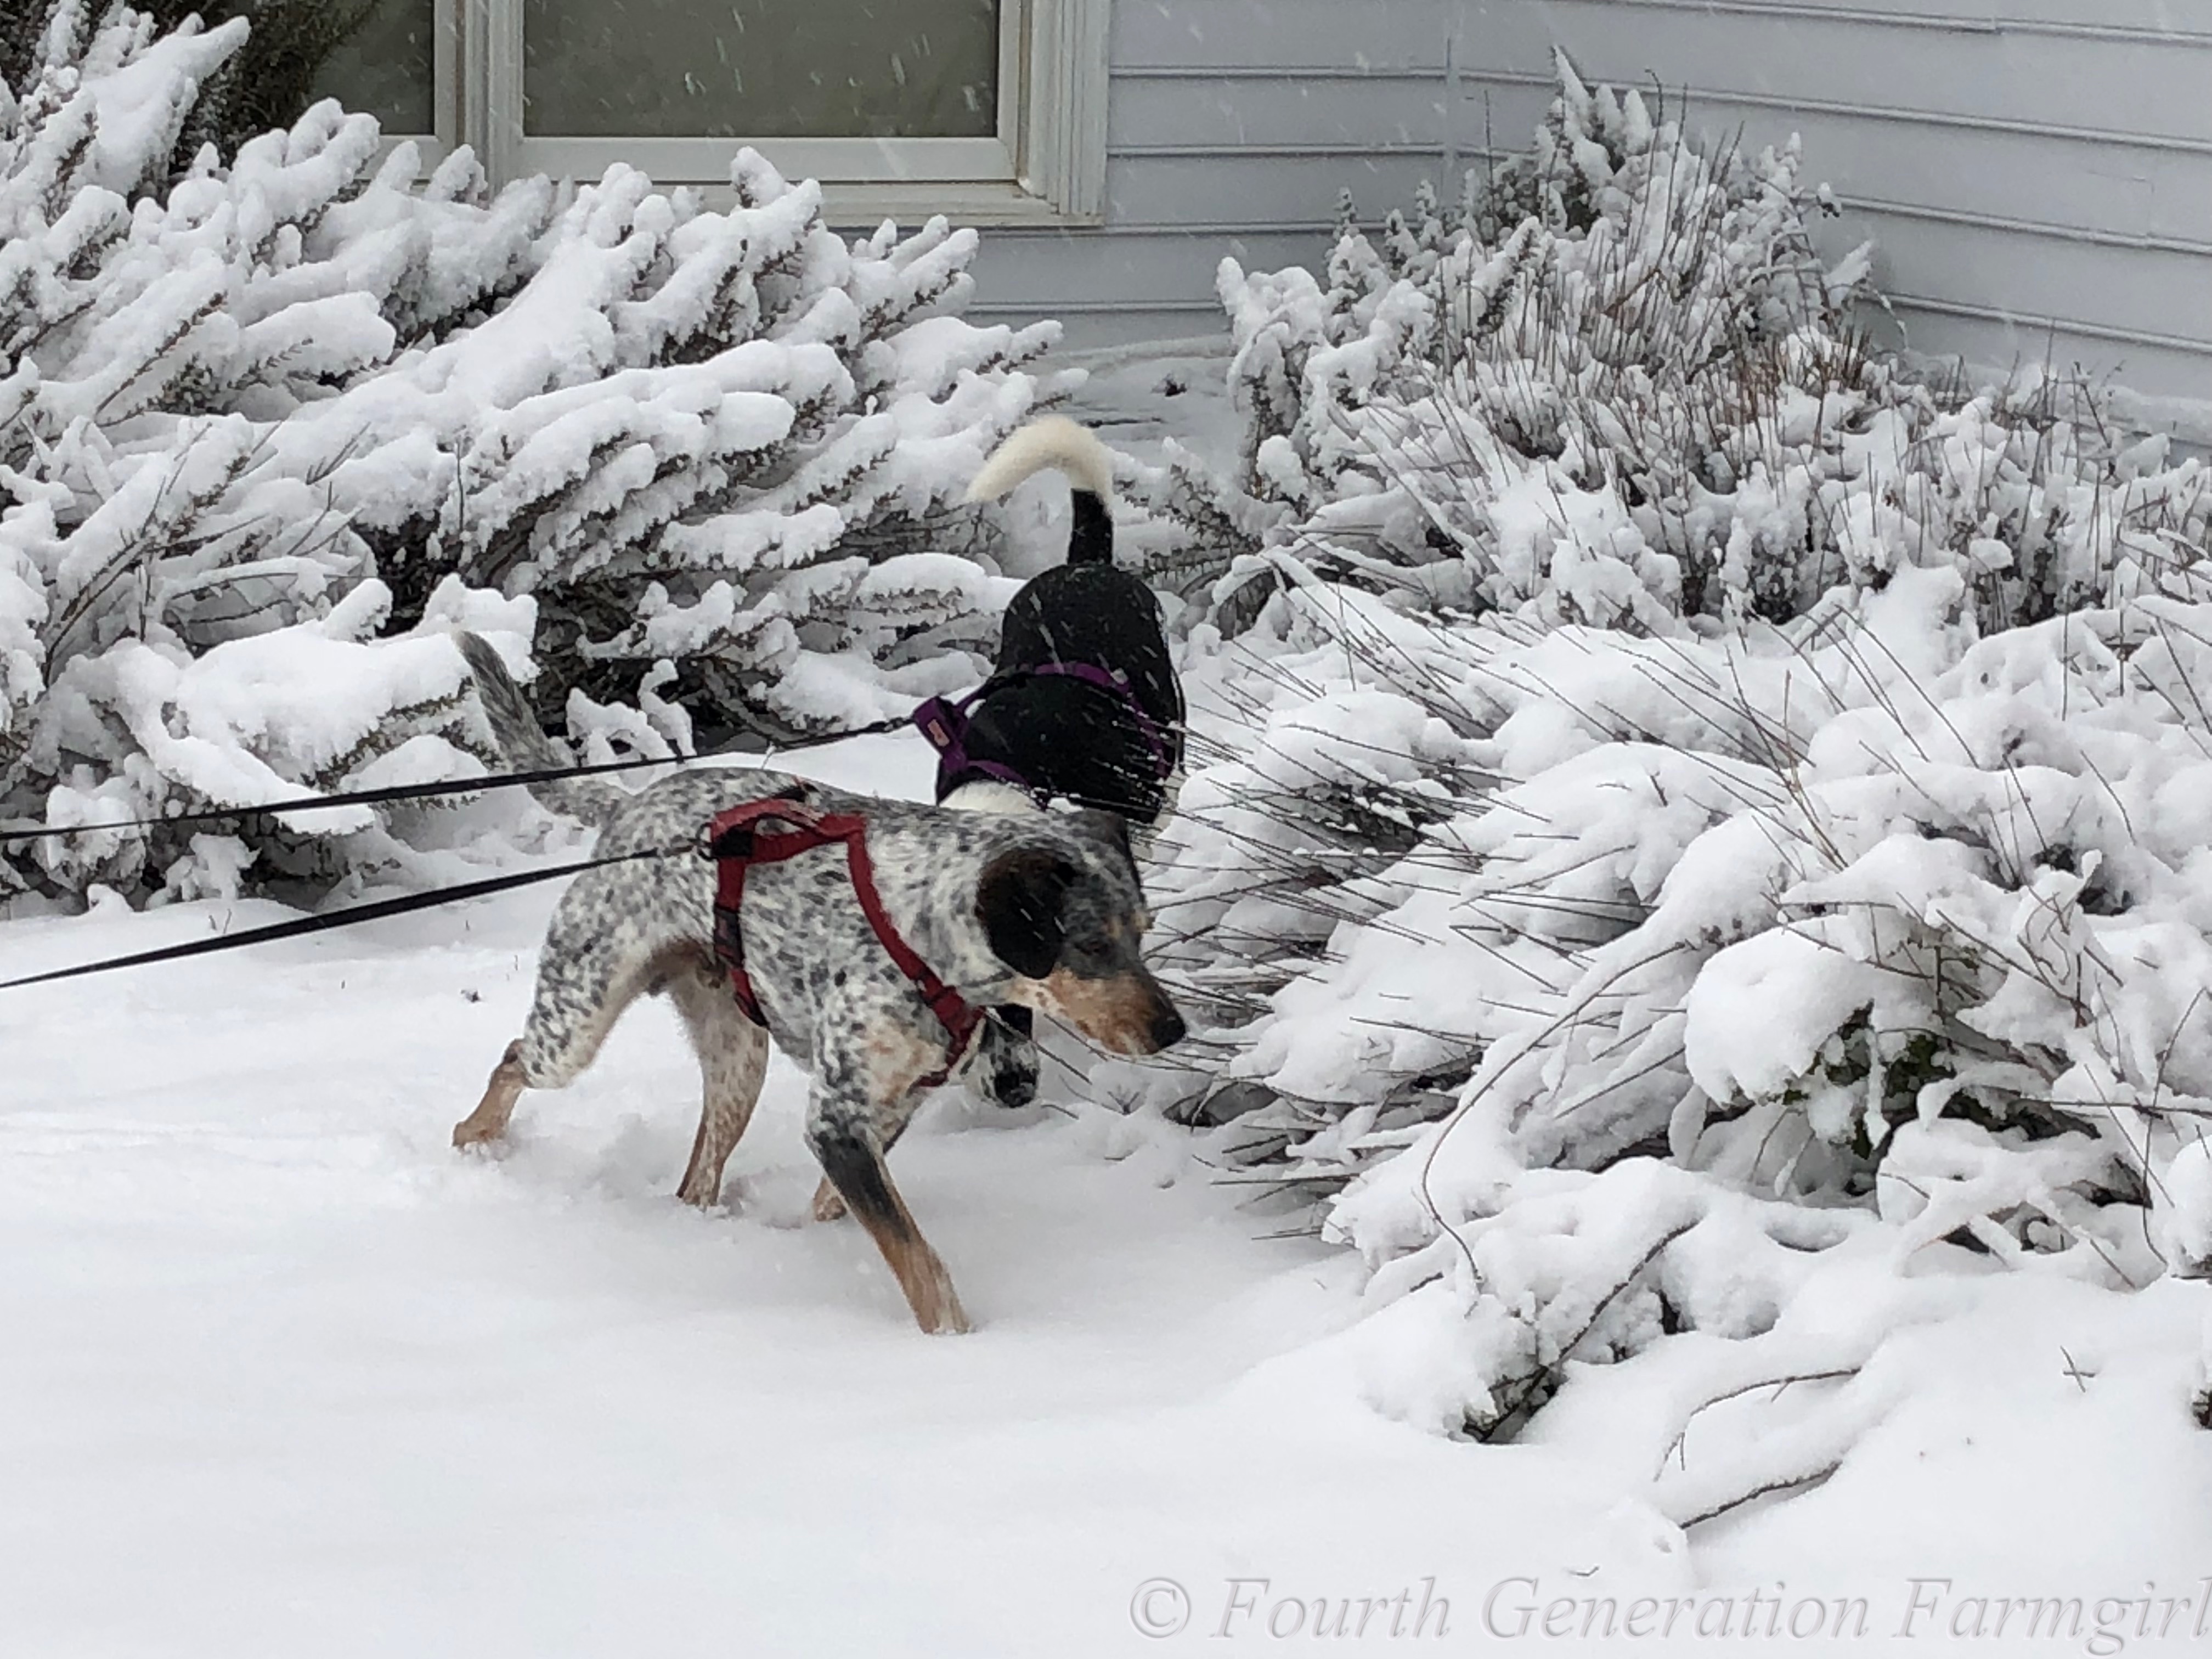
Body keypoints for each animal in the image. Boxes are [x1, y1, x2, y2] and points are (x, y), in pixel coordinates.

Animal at [449, 634, 1185, 1334]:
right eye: (1091, 944)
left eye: (1144, 930)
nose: (1174, 1029)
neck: (920, 931)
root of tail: (628, 806)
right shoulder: (838, 1122)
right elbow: (919, 1261)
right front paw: (956, 1344)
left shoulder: (884, 1112)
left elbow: (842, 1209)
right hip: (576, 1025)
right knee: (512, 1059)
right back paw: (475, 1145)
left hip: (739, 1060)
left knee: (697, 1178)